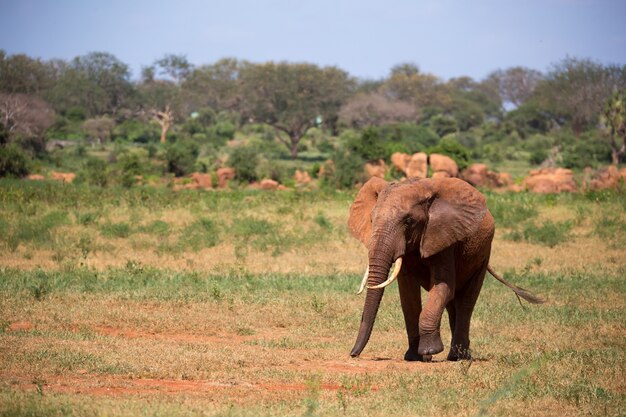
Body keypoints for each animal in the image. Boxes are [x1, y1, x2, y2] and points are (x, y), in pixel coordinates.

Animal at [346, 176, 540, 360]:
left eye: (408, 221)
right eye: (372, 219)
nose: (353, 353)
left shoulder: (444, 237)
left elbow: (442, 286)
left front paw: (430, 351)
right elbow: (408, 295)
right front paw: (415, 357)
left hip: (484, 254)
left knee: (466, 302)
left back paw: (458, 357)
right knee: (452, 303)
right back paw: (459, 354)